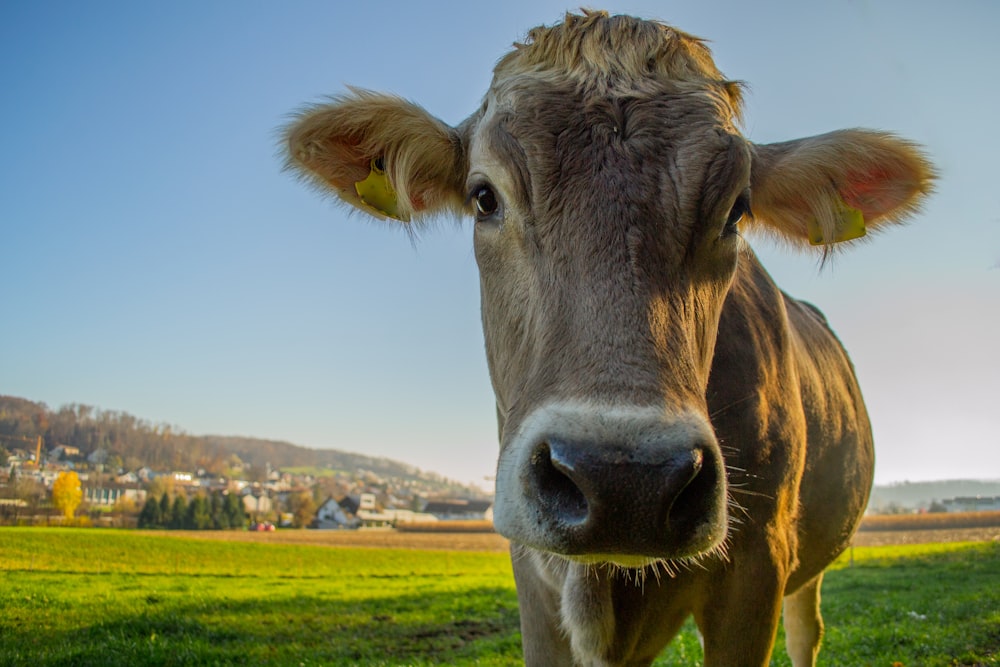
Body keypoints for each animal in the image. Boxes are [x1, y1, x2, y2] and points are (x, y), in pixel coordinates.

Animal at [282, 10, 928, 667]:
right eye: (484, 197)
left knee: (806, 631)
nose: (626, 479)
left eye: (736, 211)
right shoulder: (533, 577)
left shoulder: (758, 568)